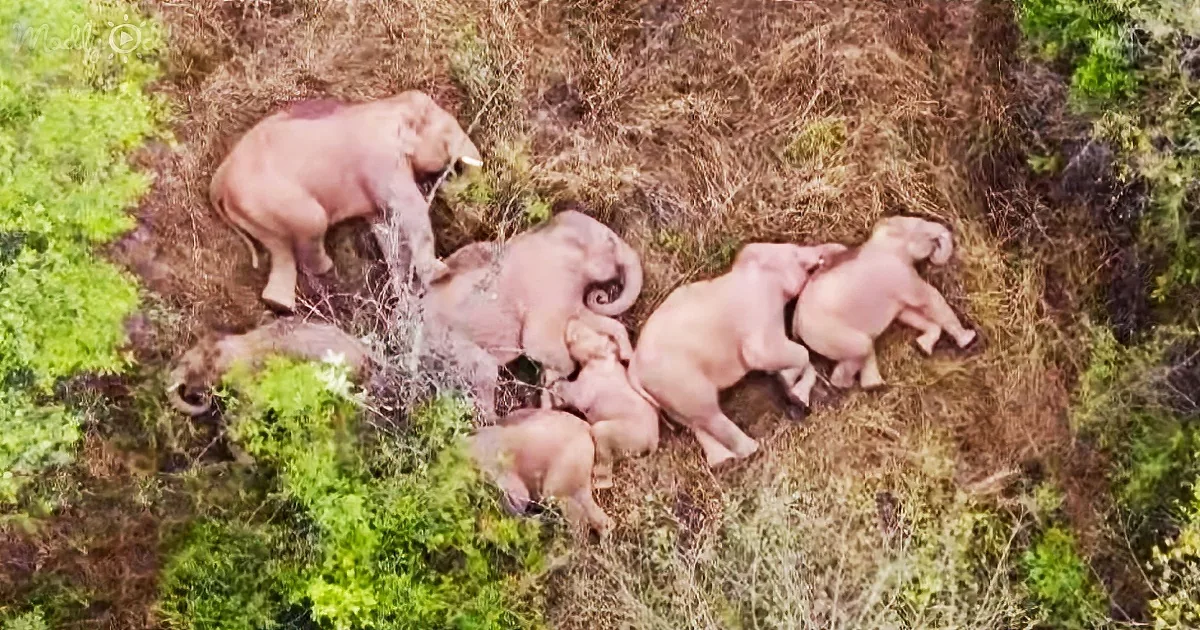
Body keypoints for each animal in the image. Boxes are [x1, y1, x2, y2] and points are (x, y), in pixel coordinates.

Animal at [209, 90, 484, 312]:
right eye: (447, 135)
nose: (447, 181)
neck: (390, 104)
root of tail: (219, 178)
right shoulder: (382, 158)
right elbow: (408, 208)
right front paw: (440, 274)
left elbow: (386, 227)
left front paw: (407, 293)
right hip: (274, 198)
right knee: (312, 226)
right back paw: (326, 272)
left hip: (254, 211)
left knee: (279, 248)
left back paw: (279, 306)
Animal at [424, 209, 643, 420]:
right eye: (611, 242)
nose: (600, 296)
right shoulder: (548, 289)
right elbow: (540, 346)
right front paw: (551, 389)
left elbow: (585, 317)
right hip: (452, 344)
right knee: (485, 373)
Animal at [550, 316, 659, 489]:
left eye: (588, 334)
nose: (572, 319)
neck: (600, 359)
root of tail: (653, 442)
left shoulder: (588, 386)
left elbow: (575, 394)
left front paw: (555, 385)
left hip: (619, 433)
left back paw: (596, 483)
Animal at [627, 242, 846, 468]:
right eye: (793, 251)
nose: (835, 250)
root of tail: (634, 370)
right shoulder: (760, 312)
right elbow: (769, 354)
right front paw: (788, 384)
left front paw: (791, 388)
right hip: (681, 383)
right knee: (709, 414)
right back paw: (753, 449)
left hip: (668, 396)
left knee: (694, 422)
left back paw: (723, 460)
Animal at [786, 215, 977, 403]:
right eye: (921, 228)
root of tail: (796, 326)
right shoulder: (901, 275)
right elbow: (930, 299)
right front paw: (969, 339)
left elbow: (907, 314)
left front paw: (923, 347)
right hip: (830, 335)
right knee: (861, 349)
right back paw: (854, 385)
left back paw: (874, 384)